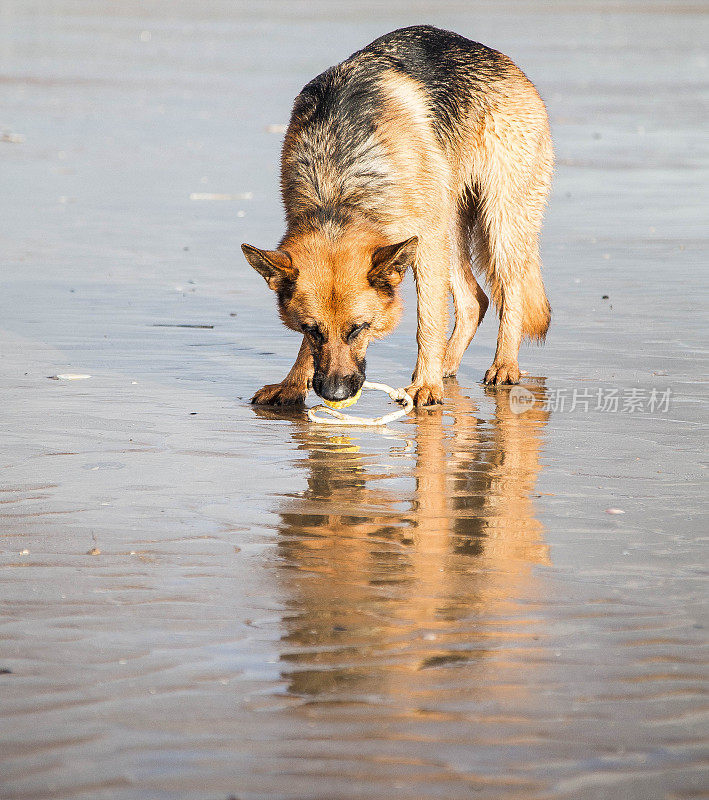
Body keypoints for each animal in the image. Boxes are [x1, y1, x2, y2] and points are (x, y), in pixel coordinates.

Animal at [243, 25, 552, 406]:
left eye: (359, 329)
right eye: (313, 330)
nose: (335, 393)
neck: (339, 189)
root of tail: (501, 60)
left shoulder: (425, 242)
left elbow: (428, 320)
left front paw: (426, 386)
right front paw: (292, 384)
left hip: (496, 225)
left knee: (510, 293)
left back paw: (502, 365)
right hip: (449, 230)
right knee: (474, 300)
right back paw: (447, 365)